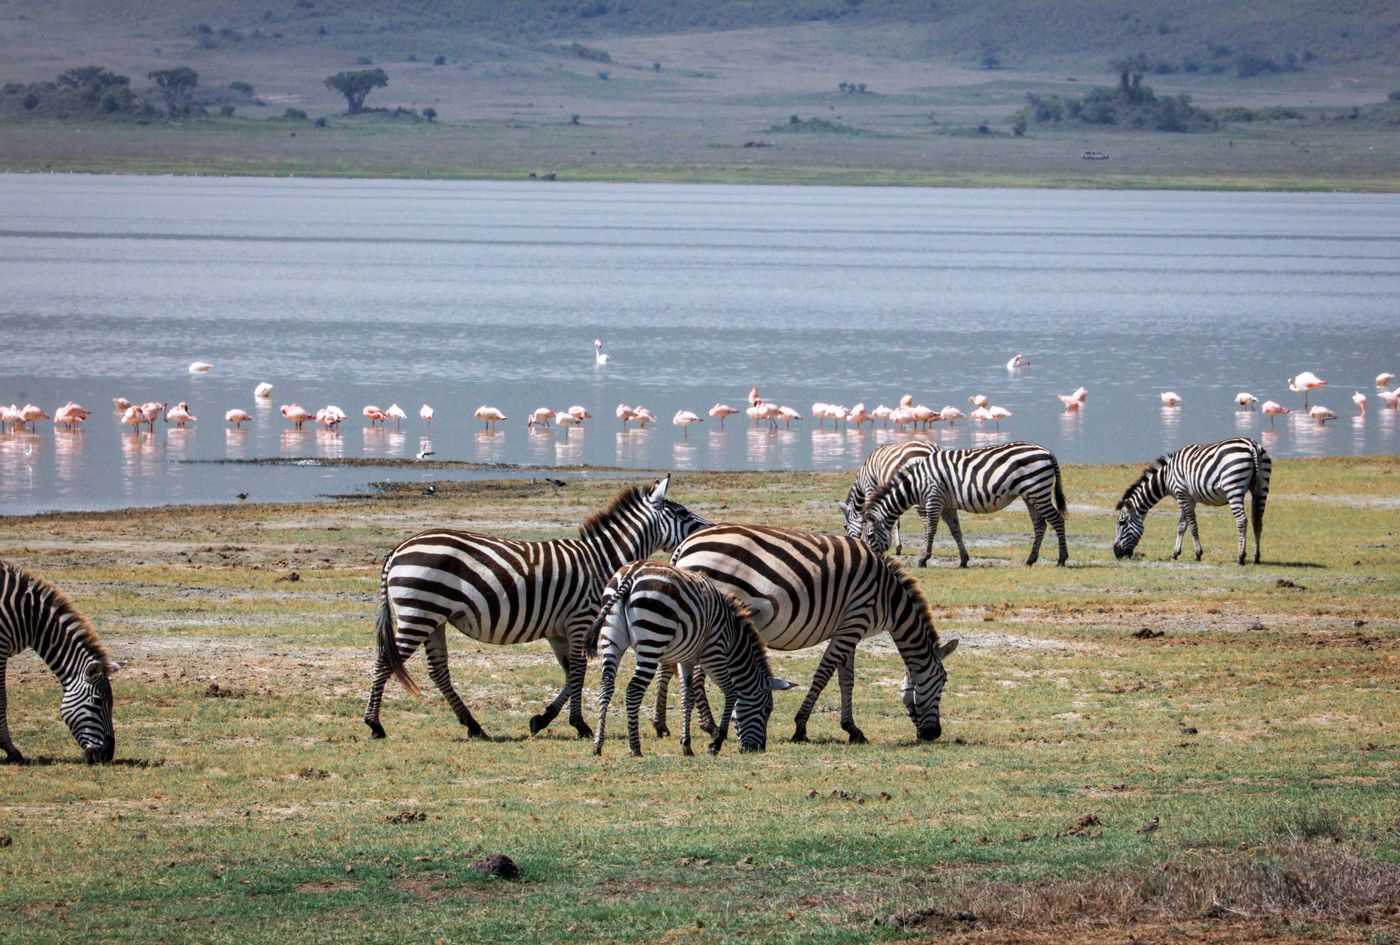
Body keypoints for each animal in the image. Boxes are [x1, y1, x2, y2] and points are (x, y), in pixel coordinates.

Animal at [364, 476, 710, 741]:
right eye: (682, 513)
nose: (707, 528)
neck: (600, 560)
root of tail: (398, 550)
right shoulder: (580, 621)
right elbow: (579, 672)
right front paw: (578, 725)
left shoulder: (559, 631)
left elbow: (571, 674)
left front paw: (543, 720)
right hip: (419, 614)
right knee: (386, 661)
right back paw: (375, 725)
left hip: (433, 618)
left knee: (438, 671)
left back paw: (474, 726)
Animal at [589, 561, 793, 757]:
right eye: (767, 709)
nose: (758, 749)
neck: (733, 639)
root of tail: (631, 574)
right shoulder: (714, 654)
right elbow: (731, 692)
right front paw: (716, 743)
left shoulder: (685, 659)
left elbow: (687, 696)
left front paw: (686, 746)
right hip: (652, 639)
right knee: (633, 690)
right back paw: (635, 747)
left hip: (611, 638)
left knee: (606, 686)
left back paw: (598, 745)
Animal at [669, 525, 957, 744]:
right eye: (943, 681)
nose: (933, 734)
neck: (890, 599)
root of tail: (685, 545)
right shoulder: (854, 622)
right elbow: (823, 675)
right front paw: (800, 727)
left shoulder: (849, 628)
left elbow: (846, 680)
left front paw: (852, 729)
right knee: (698, 674)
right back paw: (711, 727)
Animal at [858, 442, 1068, 568]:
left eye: (869, 535)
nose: (871, 561)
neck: (916, 483)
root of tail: (1047, 451)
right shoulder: (948, 505)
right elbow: (955, 531)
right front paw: (963, 560)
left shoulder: (934, 498)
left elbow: (931, 530)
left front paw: (923, 559)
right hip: (1030, 495)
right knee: (1040, 524)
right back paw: (1030, 559)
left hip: (1038, 490)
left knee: (1057, 520)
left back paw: (1061, 559)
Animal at [1113, 437, 1271, 565]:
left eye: (1122, 523)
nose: (1116, 552)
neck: (1166, 477)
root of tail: (1252, 445)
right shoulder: (1187, 498)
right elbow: (1181, 526)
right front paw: (1175, 553)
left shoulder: (1182, 495)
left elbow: (1192, 526)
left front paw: (1197, 554)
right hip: (1262, 486)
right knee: (1258, 521)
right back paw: (1256, 557)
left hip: (1233, 488)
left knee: (1242, 521)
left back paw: (1241, 557)